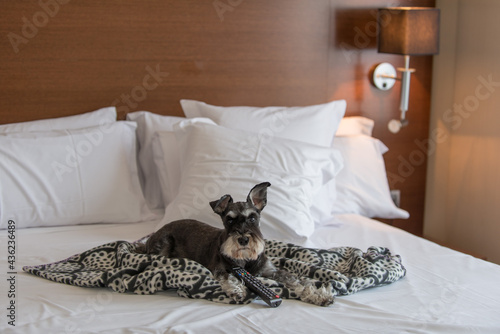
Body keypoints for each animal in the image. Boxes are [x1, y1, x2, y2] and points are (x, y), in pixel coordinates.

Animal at [139, 181, 334, 306]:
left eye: (253, 218)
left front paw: (317, 295)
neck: (245, 260)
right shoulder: (222, 269)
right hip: (163, 244)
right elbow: (228, 278)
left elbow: (297, 281)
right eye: (230, 220)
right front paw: (236, 290)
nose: (243, 239)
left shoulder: (270, 271)